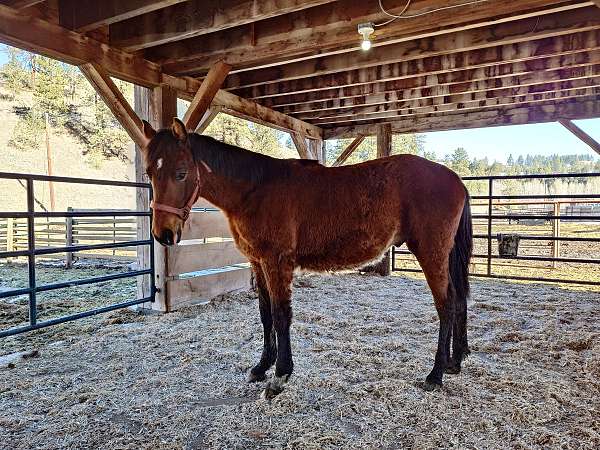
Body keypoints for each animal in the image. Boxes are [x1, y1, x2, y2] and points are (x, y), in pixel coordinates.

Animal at [141, 118, 474, 400]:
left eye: (181, 173)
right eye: (149, 173)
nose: (163, 234)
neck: (255, 189)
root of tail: (456, 180)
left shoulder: (276, 263)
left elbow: (280, 315)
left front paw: (280, 376)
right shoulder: (258, 263)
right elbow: (265, 315)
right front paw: (261, 367)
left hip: (431, 253)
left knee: (446, 305)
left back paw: (435, 374)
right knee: (458, 300)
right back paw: (454, 362)